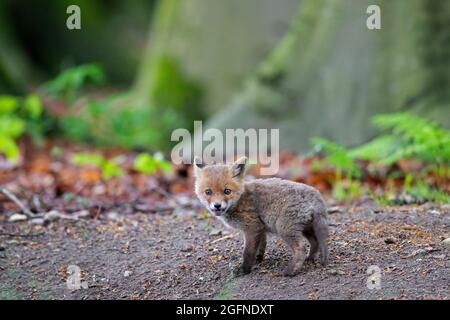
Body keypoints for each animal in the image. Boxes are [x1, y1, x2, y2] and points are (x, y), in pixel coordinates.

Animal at [192, 156, 326, 276]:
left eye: (227, 191)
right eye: (208, 192)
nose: (217, 206)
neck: (240, 200)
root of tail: (315, 194)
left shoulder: (252, 227)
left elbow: (248, 252)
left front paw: (244, 270)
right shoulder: (260, 228)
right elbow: (261, 247)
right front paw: (258, 260)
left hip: (284, 229)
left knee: (301, 249)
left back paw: (291, 271)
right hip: (306, 228)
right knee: (315, 242)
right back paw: (309, 259)